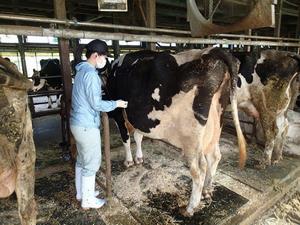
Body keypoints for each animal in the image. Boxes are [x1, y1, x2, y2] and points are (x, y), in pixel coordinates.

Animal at [103, 48, 246, 216]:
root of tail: (213, 51)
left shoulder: (119, 113)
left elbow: (125, 138)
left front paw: (129, 161)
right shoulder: (139, 119)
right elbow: (138, 136)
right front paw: (139, 158)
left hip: (192, 139)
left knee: (199, 170)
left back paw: (190, 207)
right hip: (215, 125)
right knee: (214, 156)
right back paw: (207, 190)